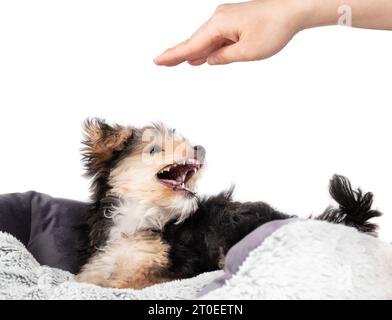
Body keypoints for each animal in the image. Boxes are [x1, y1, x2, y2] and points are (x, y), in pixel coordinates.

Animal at [76, 119, 380, 288]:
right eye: (154, 149)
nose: (200, 148)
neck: (141, 217)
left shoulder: (168, 268)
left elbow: (125, 283)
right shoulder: (96, 267)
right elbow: (88, 280)